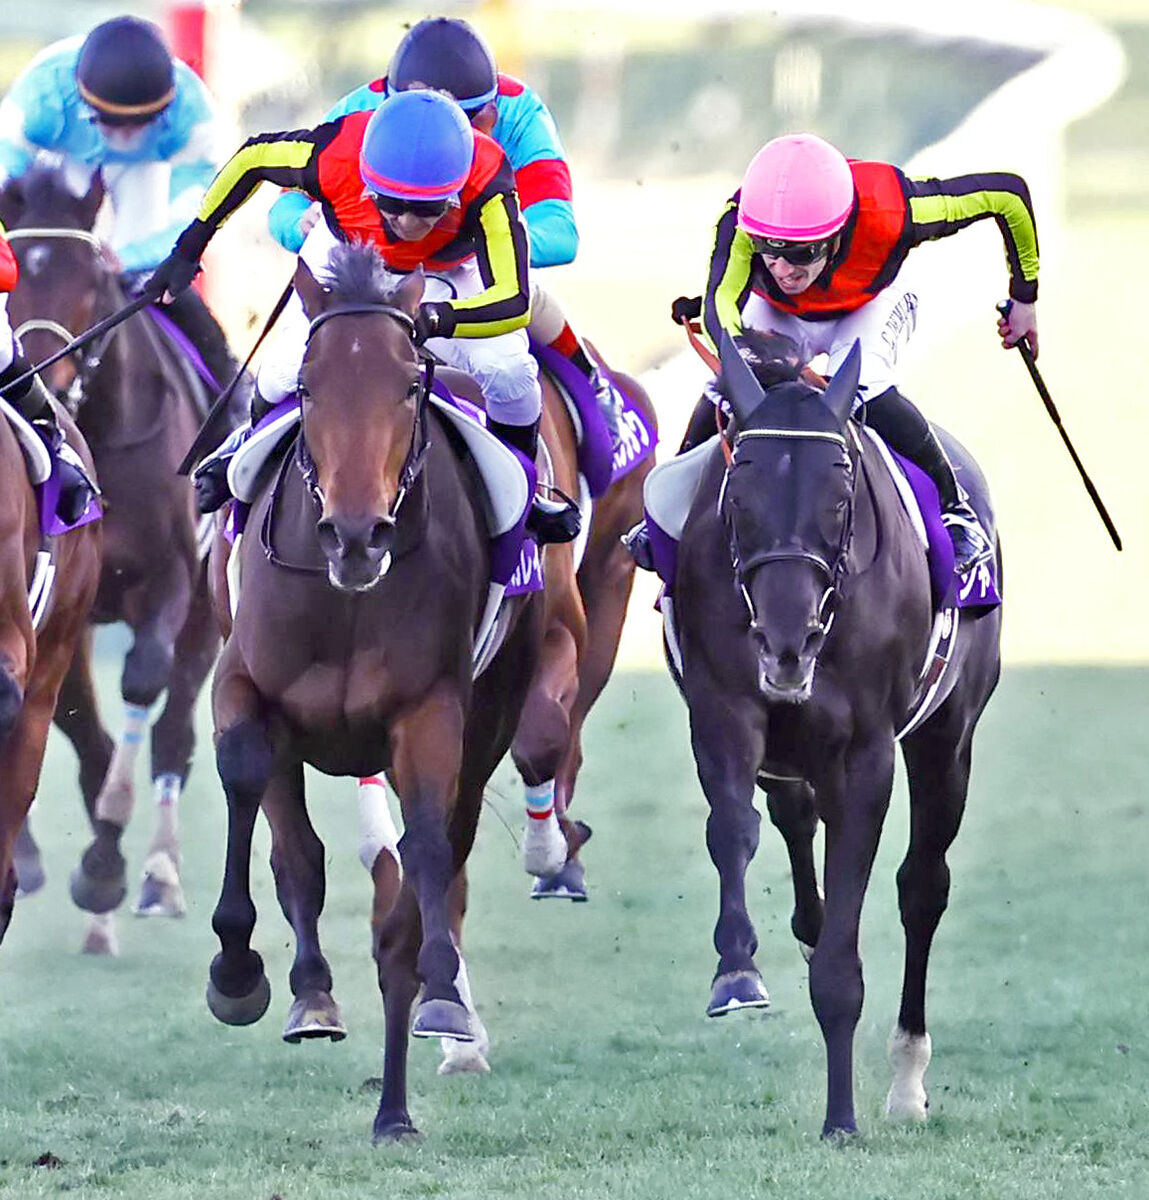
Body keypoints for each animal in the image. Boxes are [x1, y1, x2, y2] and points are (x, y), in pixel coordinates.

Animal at [0, 171, 223, 955]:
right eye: (16, 278)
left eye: (94, 277)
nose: (49, 375)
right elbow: (85, 733)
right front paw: (96, 868)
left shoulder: (168, 581)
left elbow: (144, 681)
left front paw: (109, 864)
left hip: (197, 614)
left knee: (174, 729)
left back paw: (153, 873)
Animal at [206, 241, 549, 1132]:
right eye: (305, 386)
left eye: (406, 386)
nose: (356, 536)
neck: (346, 599)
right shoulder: (242, 684)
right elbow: (258, 800)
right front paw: (240, 971)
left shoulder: (432, 712)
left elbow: (427, 845)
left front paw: (439, 989)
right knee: (296, 849)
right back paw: (312, 994)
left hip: (492, 712)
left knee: (443, 845)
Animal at [671, 333, 1002, 1137]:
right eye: (739, 495)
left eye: (840, 495)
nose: (787, 644)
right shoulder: (723, 711)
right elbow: (733, 829)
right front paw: (736, 970)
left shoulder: (866, 754)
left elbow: (845, 961)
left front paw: (842, 1119)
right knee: (794, 823)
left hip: (948, 737)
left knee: (923, 886)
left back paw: (906, 1081)